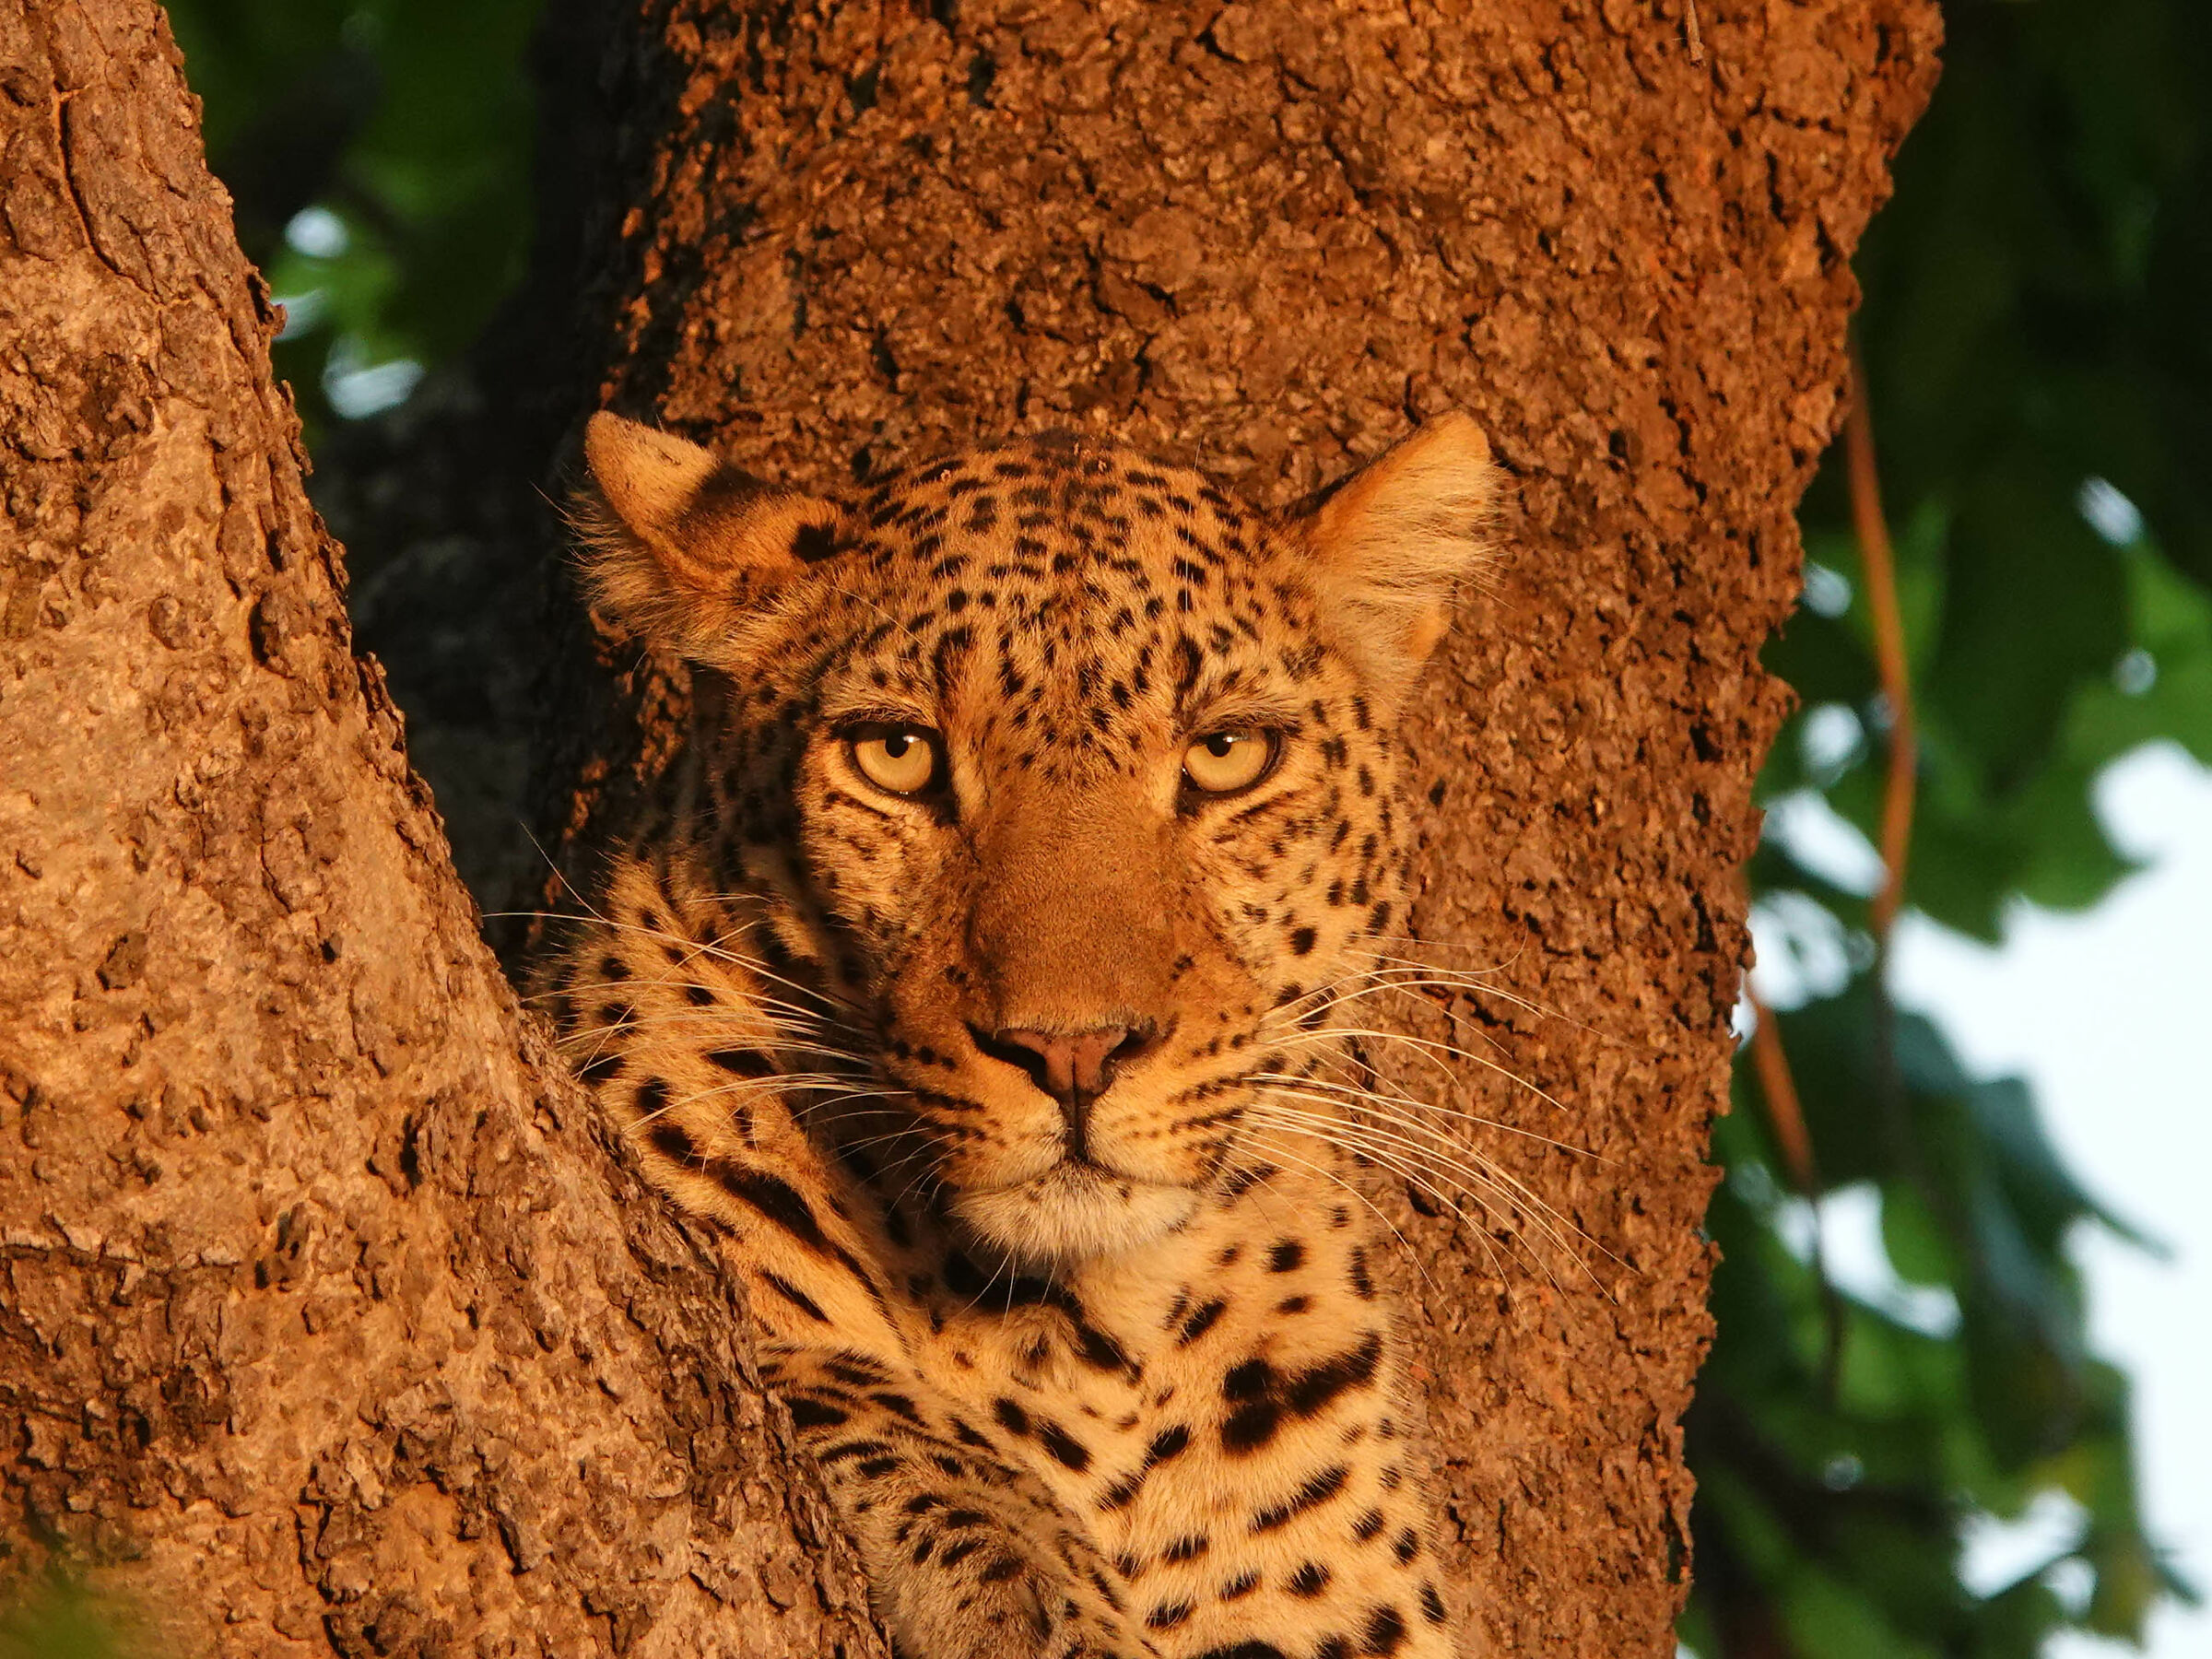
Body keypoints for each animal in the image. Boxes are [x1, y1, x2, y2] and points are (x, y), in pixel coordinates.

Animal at [549, 406, 1501, 1659]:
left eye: (1227, 755)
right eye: (895, 754)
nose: (1075, 1052)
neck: (1095, 1340)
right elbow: (894, 1417)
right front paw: (1056, 1602)